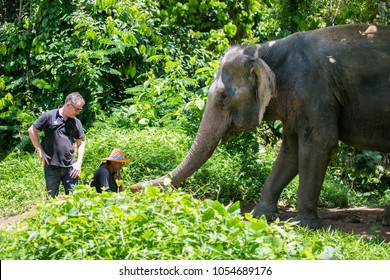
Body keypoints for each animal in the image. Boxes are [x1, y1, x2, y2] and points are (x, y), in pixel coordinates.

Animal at [132, 24, 390, 229]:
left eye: (223, 98)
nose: (132, 187)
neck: (265, 50)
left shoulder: (315, 91)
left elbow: (320, 144)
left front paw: (303, 226)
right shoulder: (298, 102)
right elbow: (290, 152)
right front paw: (260, 216)